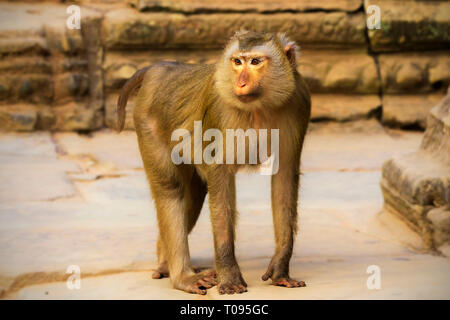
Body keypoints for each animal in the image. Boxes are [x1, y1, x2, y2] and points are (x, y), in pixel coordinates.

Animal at [118, 30, 312, 296]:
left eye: (255, 62)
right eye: (237, 61)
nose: (240, 83)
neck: (259, 106)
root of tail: (160, 68)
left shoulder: (299, 103)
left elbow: (284, 175)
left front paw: (281, 267)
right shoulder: (220, 108)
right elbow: (220, 178)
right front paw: (228, 275)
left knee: (194, 194)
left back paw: (165, 261)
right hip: (148, 124)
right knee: (171, 190)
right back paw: (182, 276)